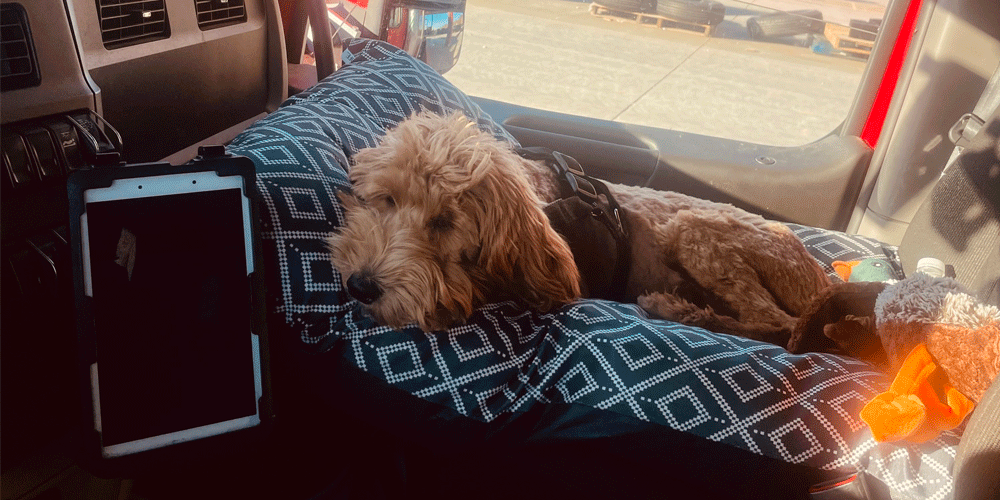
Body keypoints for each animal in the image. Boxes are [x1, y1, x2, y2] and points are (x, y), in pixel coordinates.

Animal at [328, 110, 828, 344]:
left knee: (776, 323)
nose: (361, 286)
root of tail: (819, 279)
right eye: (387, 199)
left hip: (696, 232)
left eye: (445, 222)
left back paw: (679, 310)